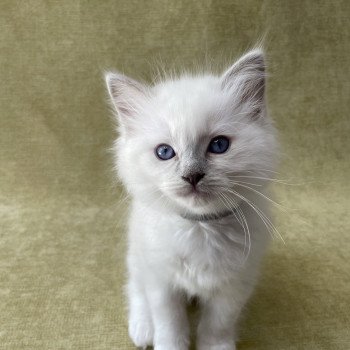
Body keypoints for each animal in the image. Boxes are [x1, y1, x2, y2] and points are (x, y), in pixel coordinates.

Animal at [105, 48, 278, 350]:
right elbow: (169, 325)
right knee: (135, 290)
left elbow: (217, 326)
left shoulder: (235, 285)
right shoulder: (161, 282)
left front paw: (216, 346)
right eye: (164, 152)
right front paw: (166, 343)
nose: (192, 176)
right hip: (138, 259)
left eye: (219, 145)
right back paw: (142, 330)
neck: (201, 226)